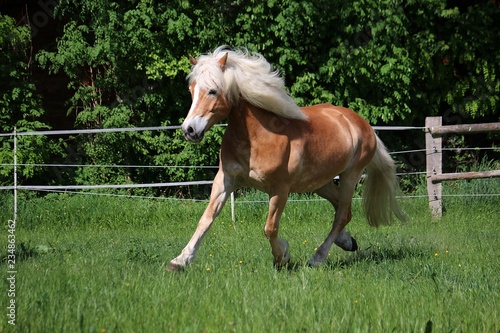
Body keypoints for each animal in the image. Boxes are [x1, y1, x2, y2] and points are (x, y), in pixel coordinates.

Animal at [168, 46, 406, 270]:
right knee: (342, 209)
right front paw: (180, 261)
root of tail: (362, 124)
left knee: (341, 215)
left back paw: (317, 258)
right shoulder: (225, 180)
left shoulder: (280, 189)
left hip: (350, 176)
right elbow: (206, 219)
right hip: (320, 182)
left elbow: (270, 228)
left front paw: (283, 256)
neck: (258, 137)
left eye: (213, 91)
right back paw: (346, 242)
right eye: (191, 90)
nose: (189, 130)